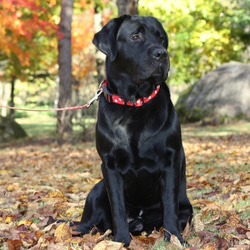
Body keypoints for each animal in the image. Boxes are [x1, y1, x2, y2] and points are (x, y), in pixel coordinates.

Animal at [75, 14, 192, 246]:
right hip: (97, 190)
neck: (134, 104)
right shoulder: (110, 166)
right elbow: (118, 208)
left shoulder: (170, 162)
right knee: (83, 225)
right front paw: (121, 240)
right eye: (135, 36)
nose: (161, 53)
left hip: (187, 209)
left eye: (161, 39)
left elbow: (170, 206)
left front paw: (174, 239)